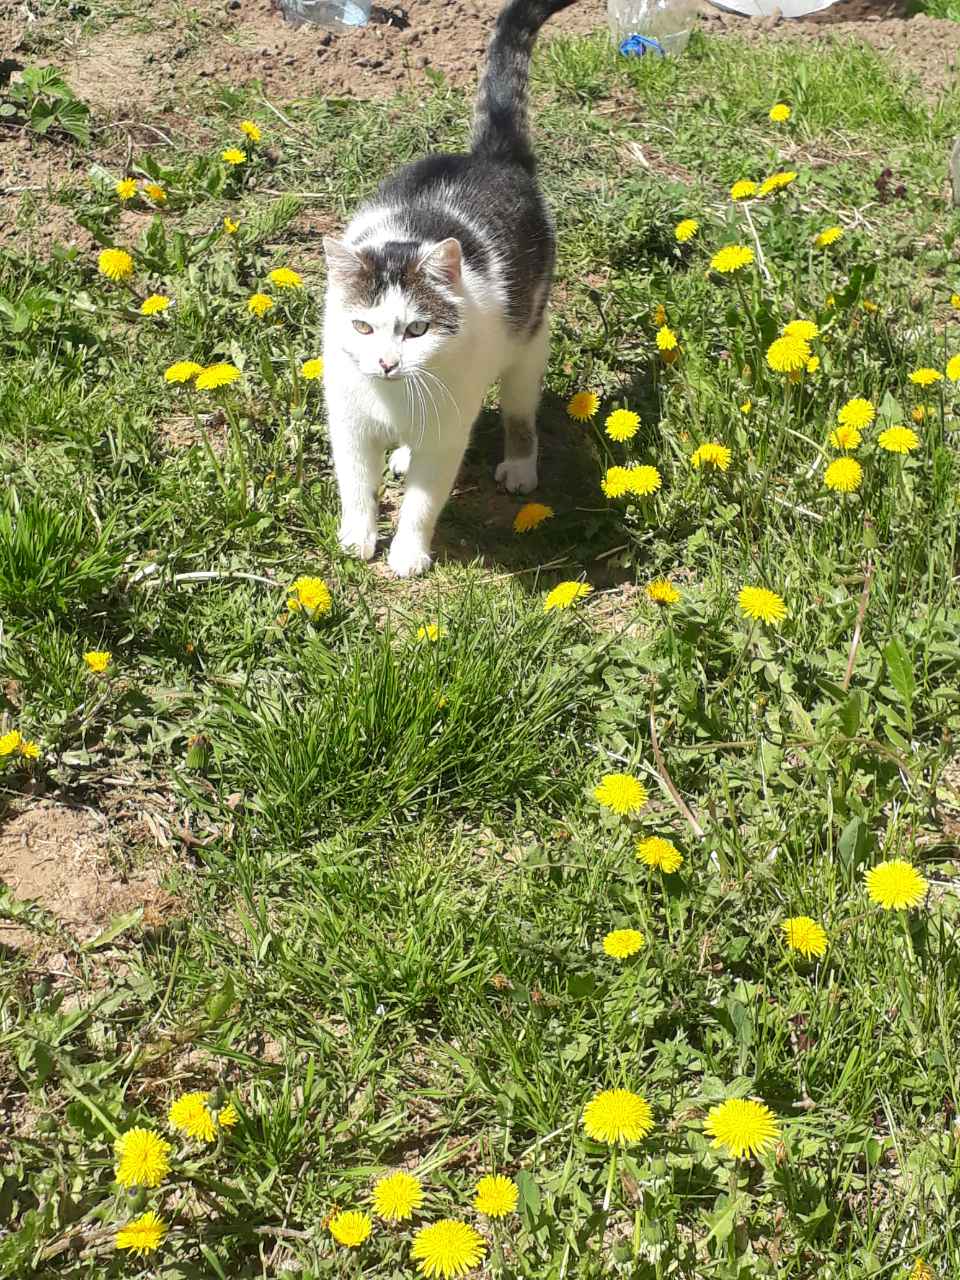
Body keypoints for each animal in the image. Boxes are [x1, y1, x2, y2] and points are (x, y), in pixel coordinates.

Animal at [322, 0, 578, 577]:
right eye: (363, 326)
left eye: (418, 329)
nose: (387, 363)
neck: (394, 399)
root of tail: (492, 157)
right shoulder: (349, 424)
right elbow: (355, 488)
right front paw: (356, 539)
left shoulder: (446, 434)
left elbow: (422, 502)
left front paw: (407, 555)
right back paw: (399, 455)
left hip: (530, 341)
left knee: (520, 413)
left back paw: (520, 466)